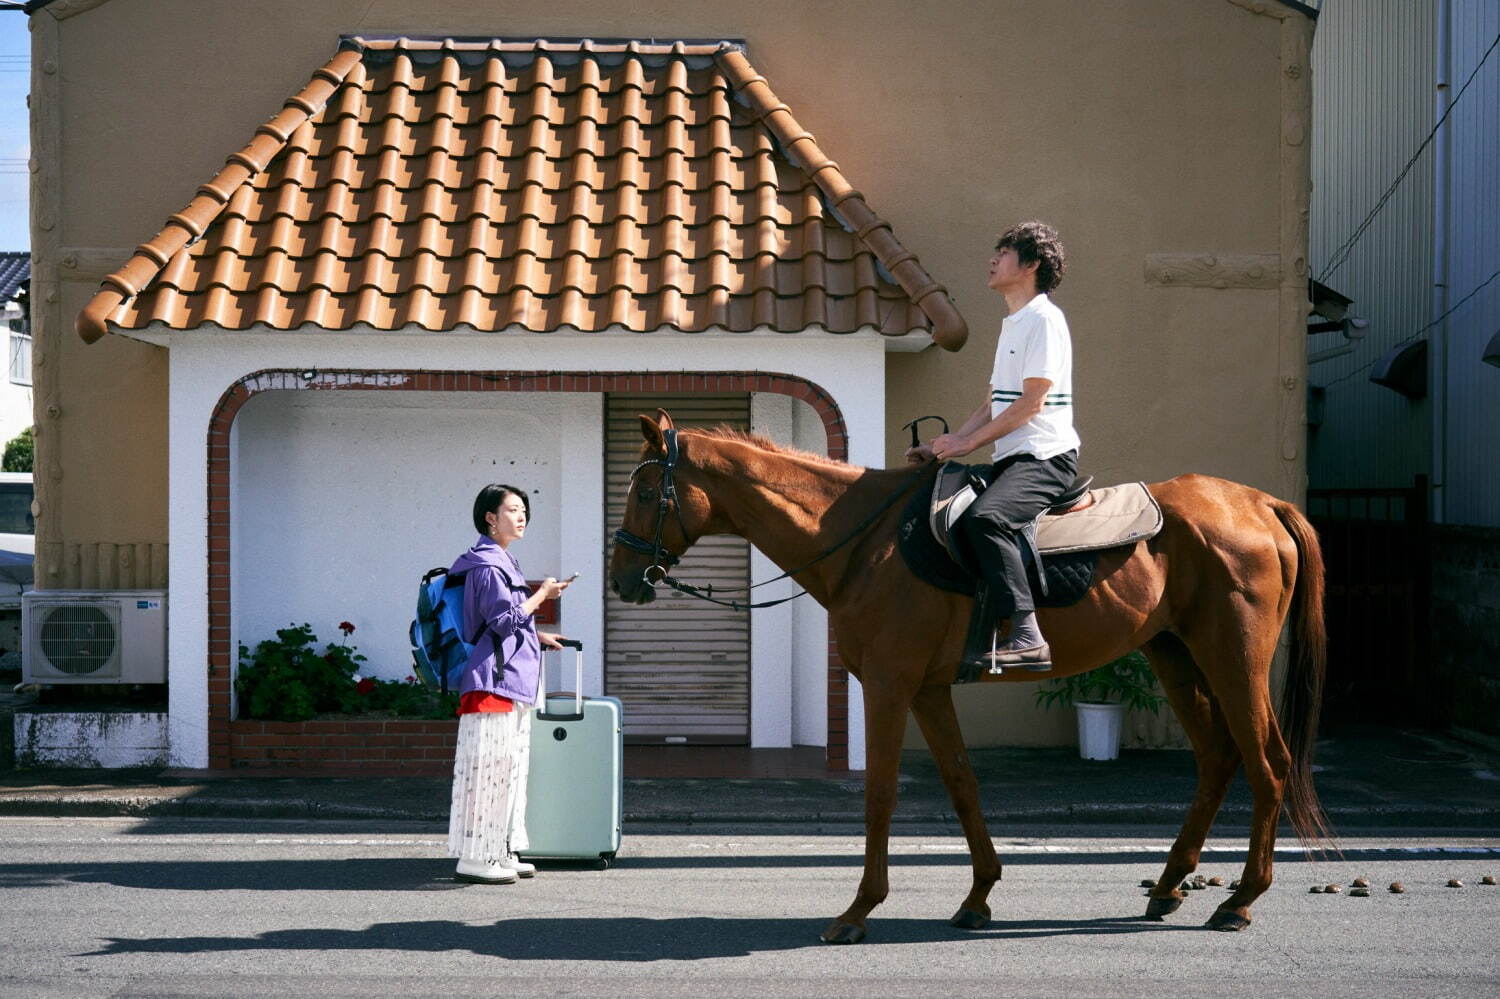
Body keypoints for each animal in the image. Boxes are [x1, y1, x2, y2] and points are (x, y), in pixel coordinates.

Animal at [603, 408, 1332, 936]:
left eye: (645, 488)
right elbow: (961, 784)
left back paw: (1239, 899)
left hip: (1233, 659)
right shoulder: (927, 689)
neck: (865, 542)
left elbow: (880, 794)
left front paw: (858, 911)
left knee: (1266, 763)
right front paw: (978, 895)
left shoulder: (890, 686)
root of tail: (1260, 505)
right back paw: (1171, 883)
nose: (622, 577)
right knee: (1216, 758)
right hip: (1175, 653)